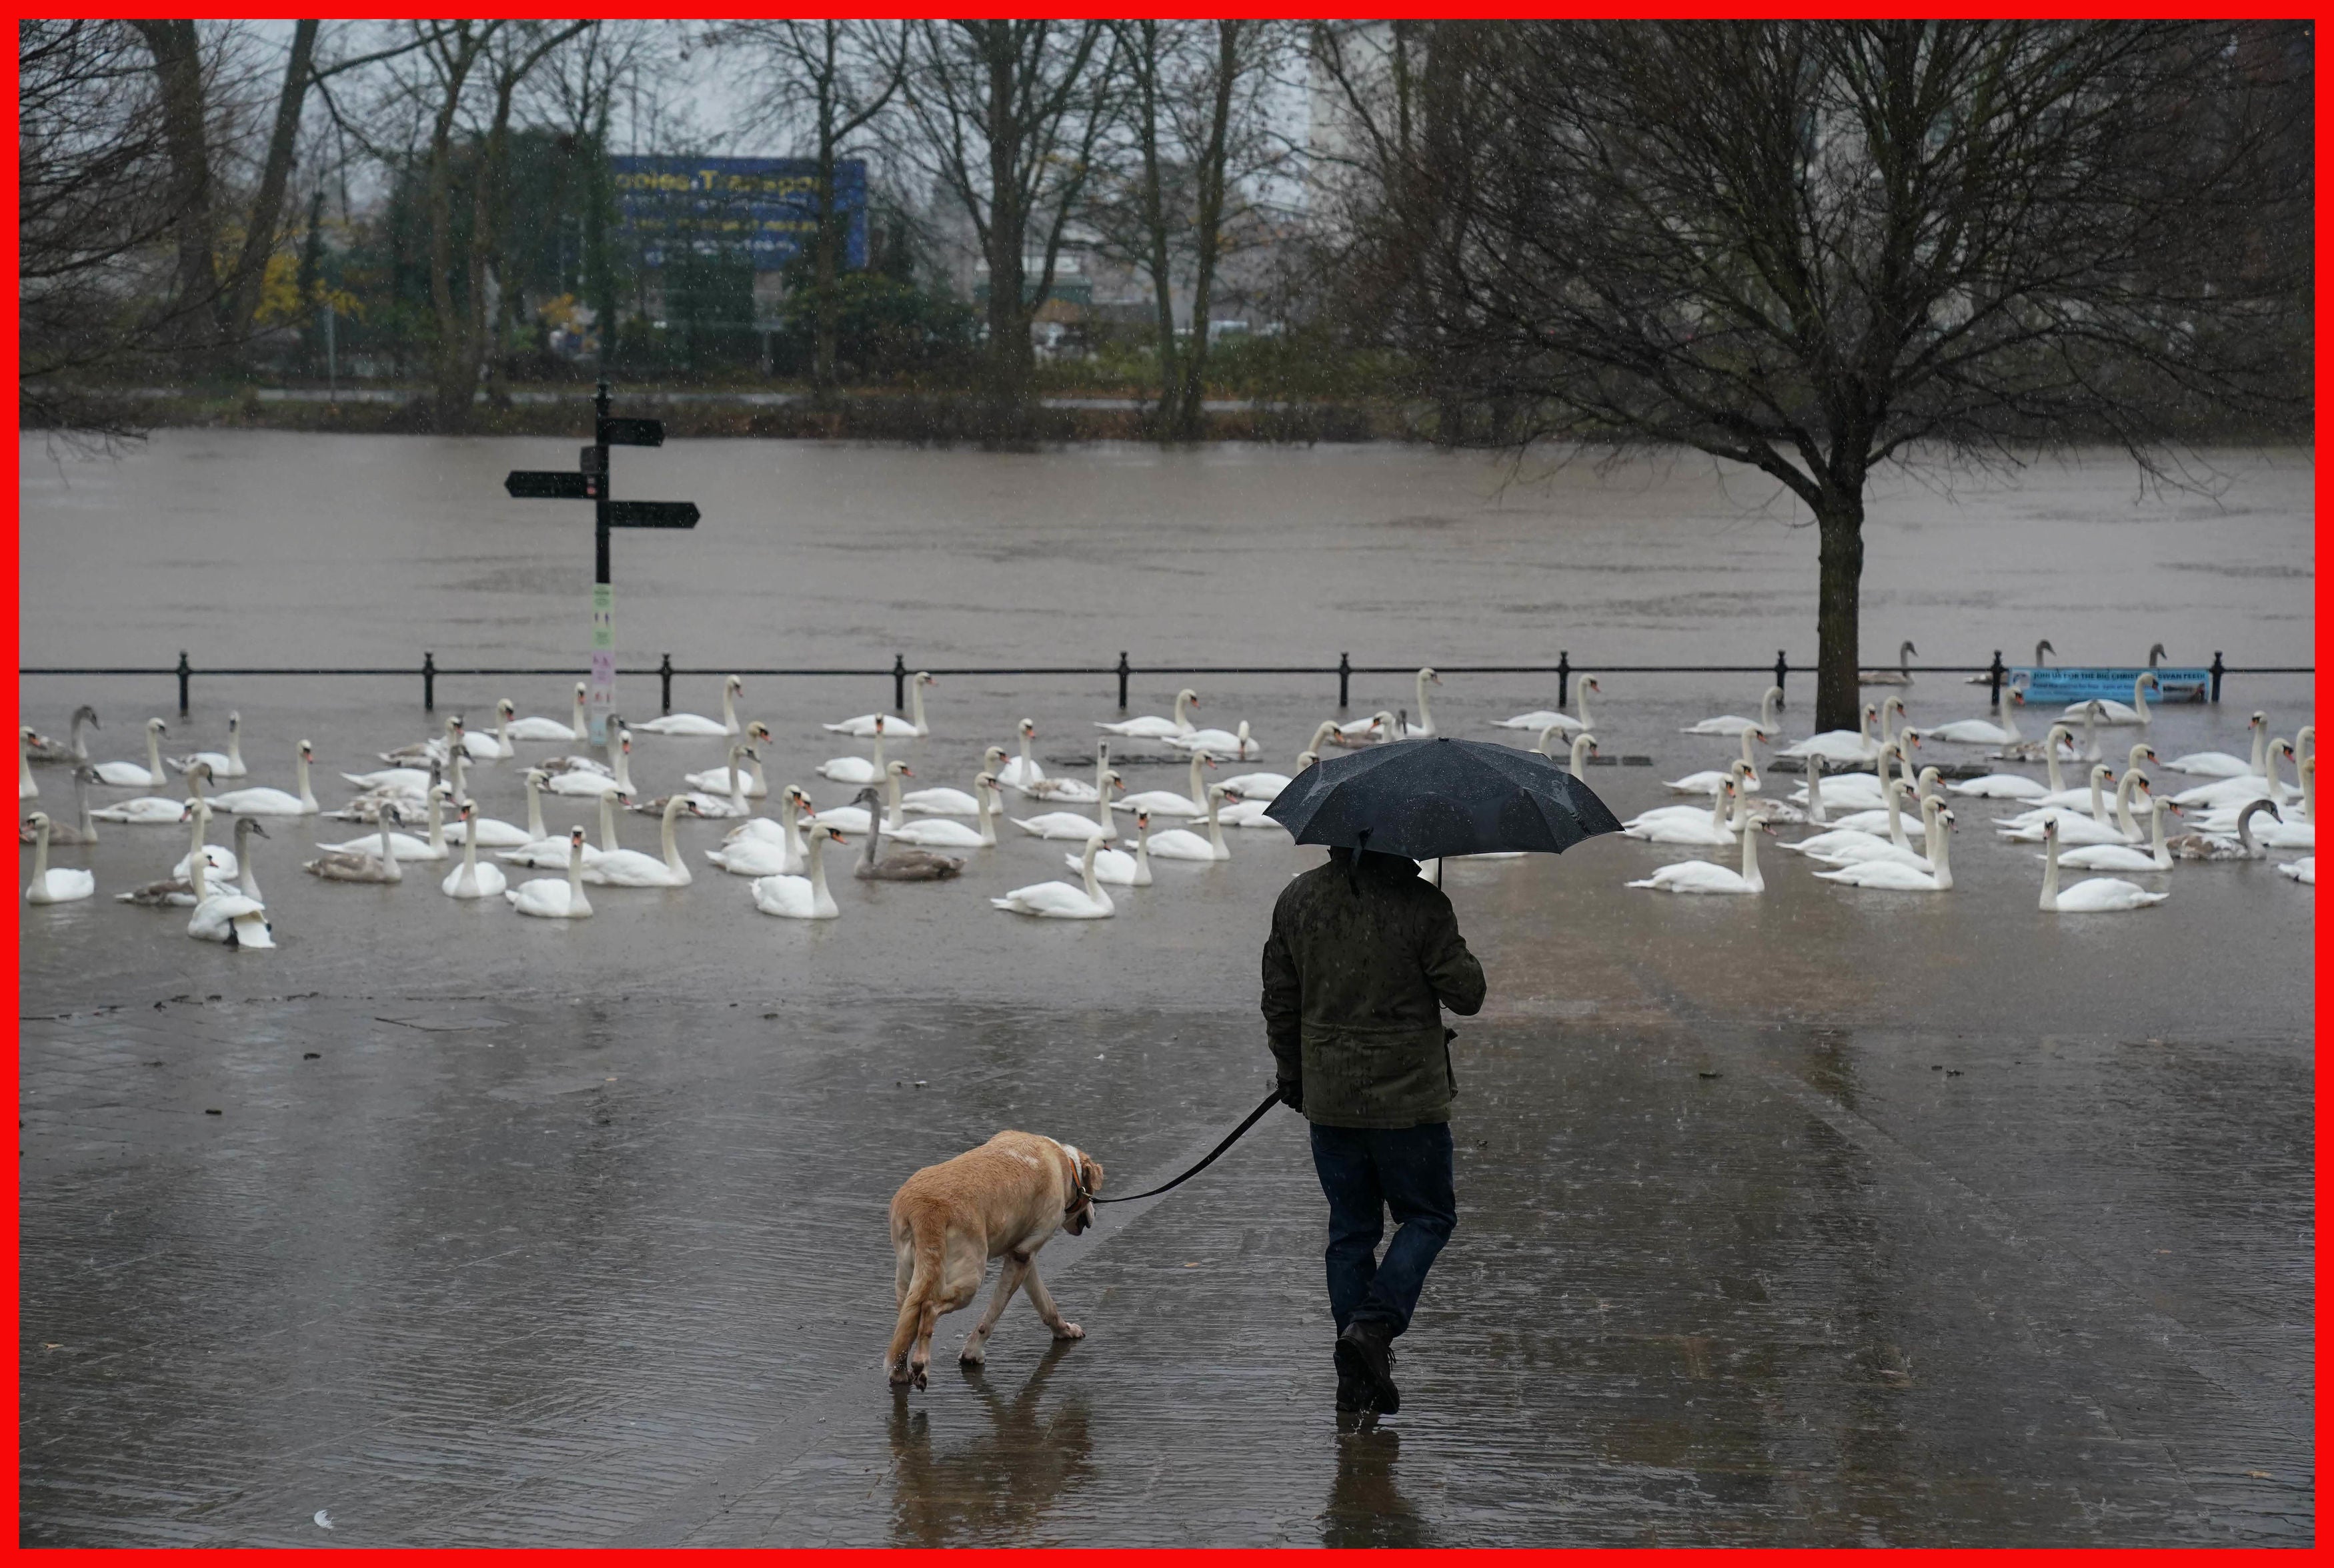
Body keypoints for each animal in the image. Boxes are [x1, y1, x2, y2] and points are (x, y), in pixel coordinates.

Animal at [892, 1134, 1111, 1391]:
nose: (1095, 1213)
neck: (1065, 1164)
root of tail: (926, 1211)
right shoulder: (1021, 1256)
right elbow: (992, 1315)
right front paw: (973, 1353)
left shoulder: (1023, 1257)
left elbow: (1046, 1304)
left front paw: (1063, 1330)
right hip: (969, 1279)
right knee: (929, 1308)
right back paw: (921, 1365)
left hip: (909, 1277)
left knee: (906, 1324)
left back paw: (899, 1372)